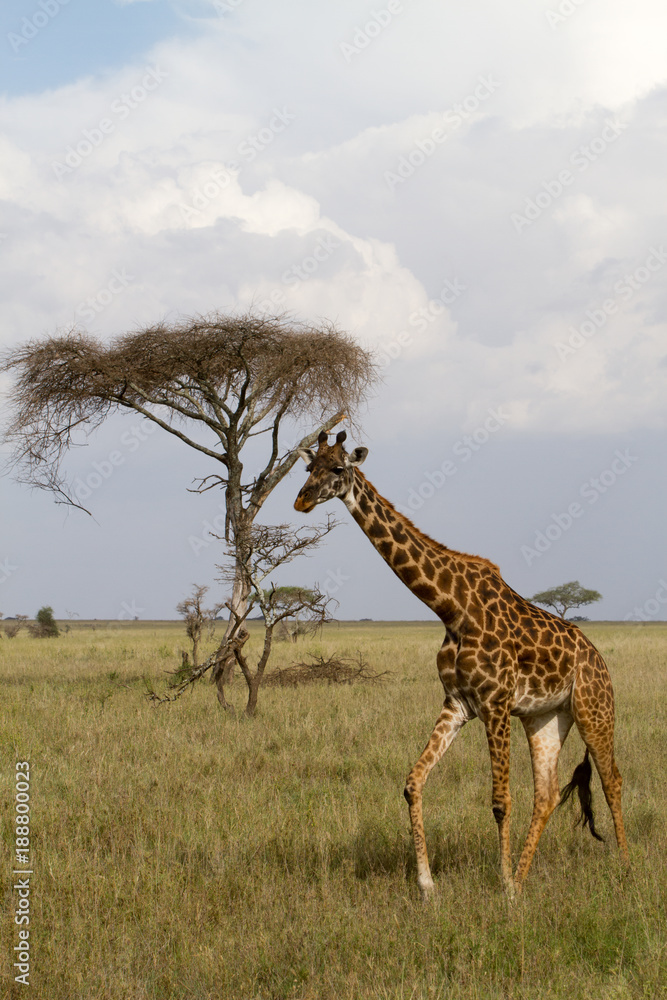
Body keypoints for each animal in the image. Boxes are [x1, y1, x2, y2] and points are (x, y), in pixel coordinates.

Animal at [294, 430, 629, 897]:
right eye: (309, 467)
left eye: (338, 468)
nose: (302, 500)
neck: (449, 608)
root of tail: (597, 657)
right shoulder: (458, 703)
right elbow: (413, 783)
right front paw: (428, 884)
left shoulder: (495, 702)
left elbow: (500, 801)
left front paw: (503, 886)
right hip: (546, 717)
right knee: (546, 795)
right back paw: (524, 876)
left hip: (594, 708)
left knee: (612, 779)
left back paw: (626, 867)